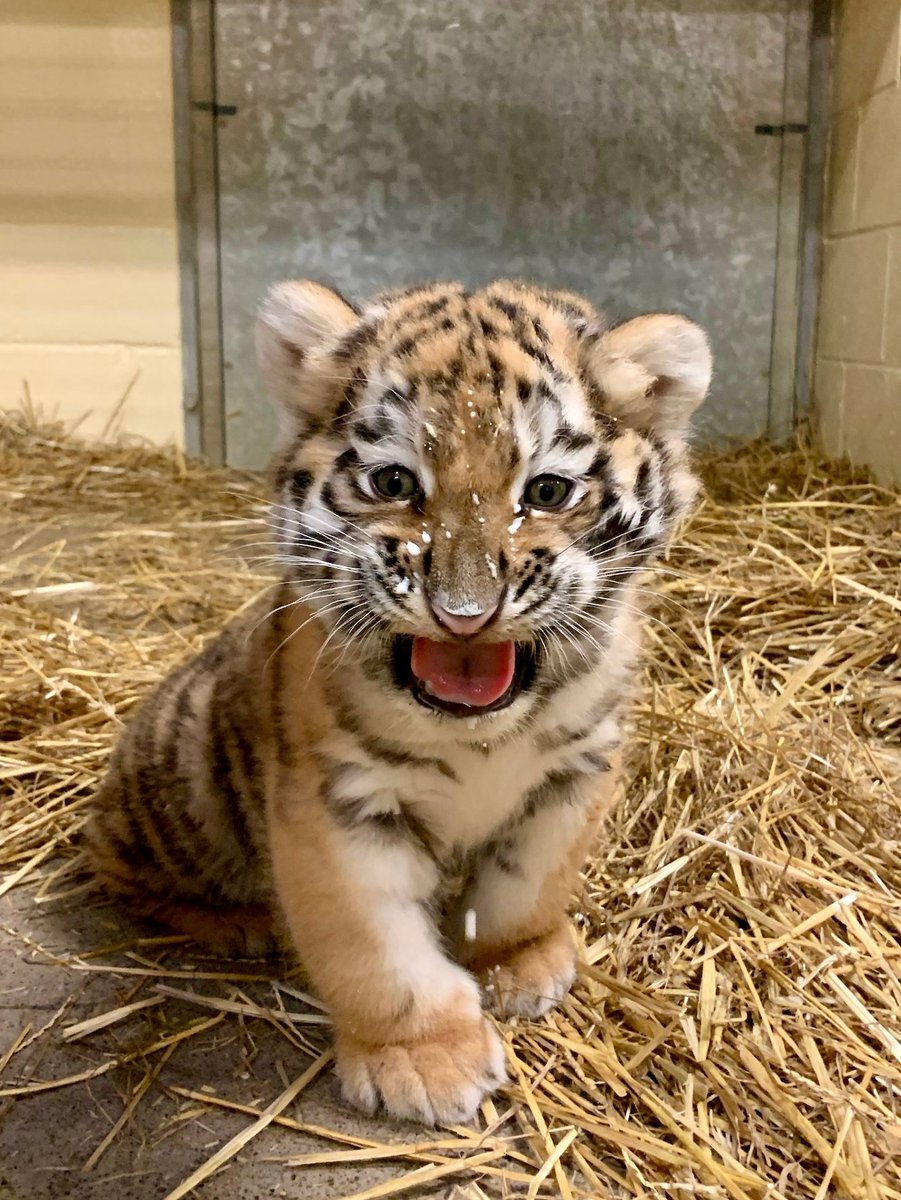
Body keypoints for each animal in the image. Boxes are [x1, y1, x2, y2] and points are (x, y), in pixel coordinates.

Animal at [86, 278, 711, 1124]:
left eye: (546, 491)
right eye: (394, 484)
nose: (464, 613)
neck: (479, 732)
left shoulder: (574, 776)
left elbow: (527, 890)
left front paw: (519, 967)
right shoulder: (336, 804)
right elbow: (378, 955)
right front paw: (424, 1063)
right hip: (183, 784)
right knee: (124, 875)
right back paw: (241, 924)